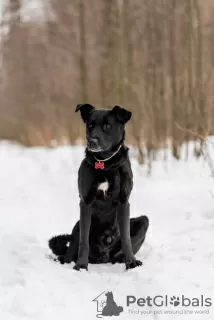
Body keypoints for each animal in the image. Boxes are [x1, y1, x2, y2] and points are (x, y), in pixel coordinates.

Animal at [48, 104, 149, 270]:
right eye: (90, 125)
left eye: (107, 126)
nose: (92, 142)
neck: (105, 163)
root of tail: (102, 256)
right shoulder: (86, 202)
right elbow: (83, 241)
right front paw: (81, 265)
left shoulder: (123, 201)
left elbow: (126, 238)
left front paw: (131, 263)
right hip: (77, 224)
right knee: (71, 248)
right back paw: (66, 259)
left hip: (143, 221)